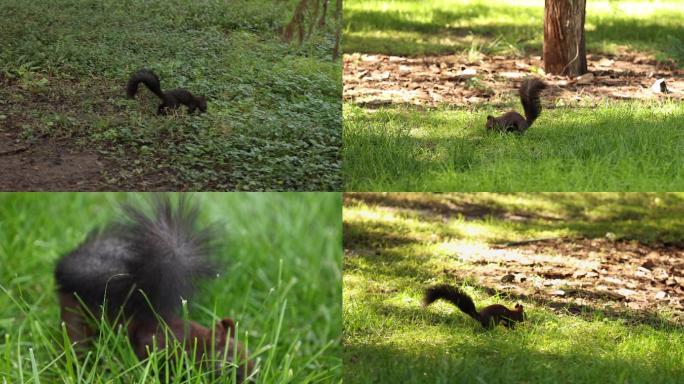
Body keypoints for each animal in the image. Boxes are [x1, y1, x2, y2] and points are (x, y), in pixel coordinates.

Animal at [53, 196, 251, 382]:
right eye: (229, 360)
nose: (252, 376)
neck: (196, 341)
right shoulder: (159, 340)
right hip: (77, 317)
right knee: (76, 339)